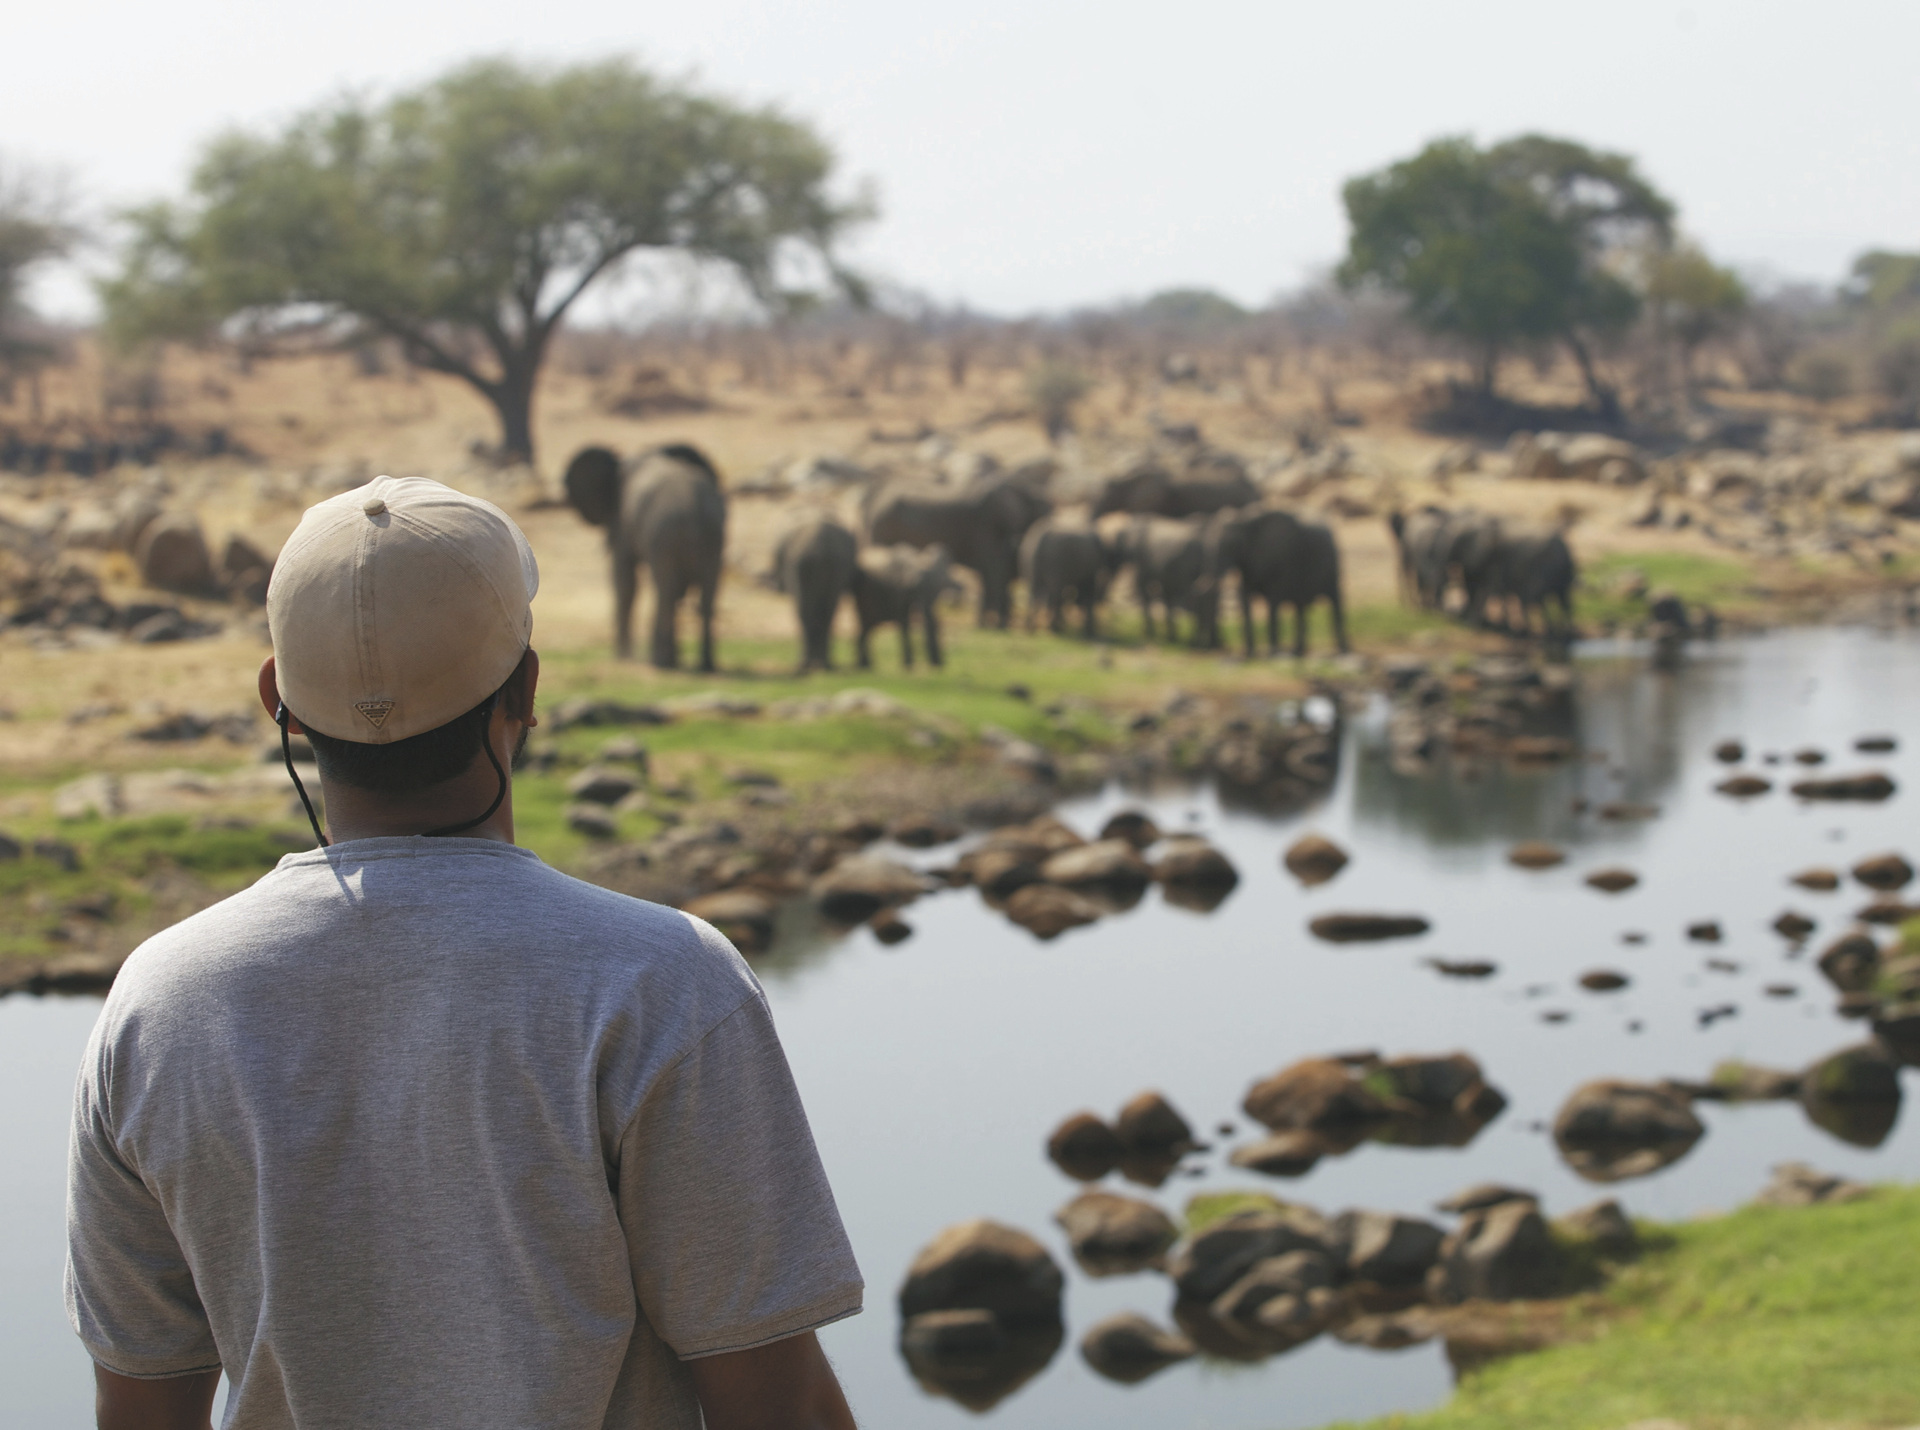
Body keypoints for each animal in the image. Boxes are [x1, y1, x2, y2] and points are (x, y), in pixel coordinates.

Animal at [564, 443, 729, 667]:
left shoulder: (623, 522)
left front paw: (623, 656)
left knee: (666, 590)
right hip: (714, 538)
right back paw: (705, 665)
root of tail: (696, 510)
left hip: (664, 534)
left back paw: (661, 662)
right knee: (706, 597)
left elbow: (625, 583)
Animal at [768, 514, 860, 667]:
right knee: (825, 611)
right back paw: (820, 664)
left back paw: (809, 664)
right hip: (829, 565)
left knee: (807, 610)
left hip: (801, 564)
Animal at [867, 468, 1052, 625]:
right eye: (1042, 514)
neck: (1028, 491)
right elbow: (994, 569)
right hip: (882, 526)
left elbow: (992, 570)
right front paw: (998, 624)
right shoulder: (987, 523)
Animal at [1198, 506, 1351, 656]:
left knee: (1335, 601)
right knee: (1300, 607)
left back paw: (1342, 650)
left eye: (1232, 545)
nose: (1206, 649)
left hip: (1333, 566)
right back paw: (1298, 651)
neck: (1244, 520)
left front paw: (1272, 652)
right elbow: (1245, 598)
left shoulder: (1280, 559)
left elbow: (1274, 600)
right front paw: (1249, 654)